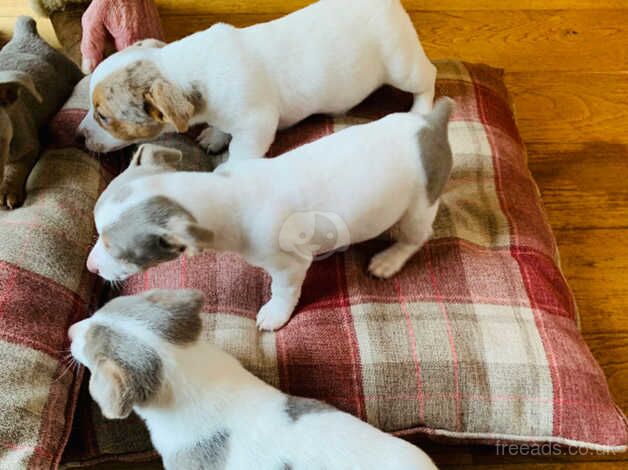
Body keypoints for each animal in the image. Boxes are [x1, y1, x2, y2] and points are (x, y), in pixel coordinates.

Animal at [77, 0, 436, 158]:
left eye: (104, 116)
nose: (78, 136)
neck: (180, 67)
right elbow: (220, 129)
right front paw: (214, 136)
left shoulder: (256, 125)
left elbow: (241, 152)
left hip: (401, 63)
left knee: (428, 77)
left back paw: (420, 110)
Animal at [87, 98, 452, 330]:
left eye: (117, 250)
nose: (90, 267)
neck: (224, 193)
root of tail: (432, 124)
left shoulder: (290, 266)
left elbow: (284, 292)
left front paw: (275, 315)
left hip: (419, 205)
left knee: (417, 236)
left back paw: (390, 259)